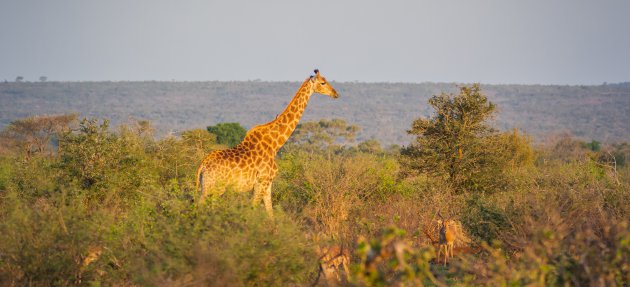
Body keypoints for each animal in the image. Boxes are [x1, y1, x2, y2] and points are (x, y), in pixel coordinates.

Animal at [198, 69, 340, 216]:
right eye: (323, 82)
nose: (336, 94)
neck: (274, 144)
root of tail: (203, 165)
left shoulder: (268, 184)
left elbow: (270, 212)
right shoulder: (262, 182)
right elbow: (254, 209)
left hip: (207, 186)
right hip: (215, 187)